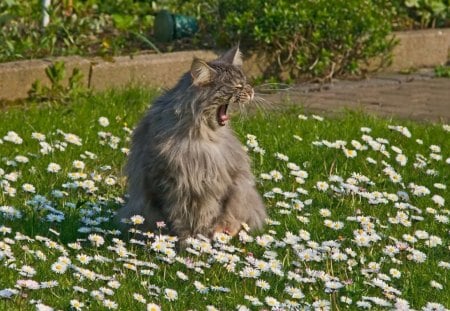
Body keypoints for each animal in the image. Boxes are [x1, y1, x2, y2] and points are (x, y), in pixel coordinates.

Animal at [115, 46, 268, 243]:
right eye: (237, 86)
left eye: (246, 82)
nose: (251, 91)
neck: (196, 139)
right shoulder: (169, 183)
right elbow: (178, 219)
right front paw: (186, 242)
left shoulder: (213, 183)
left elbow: (208, 216)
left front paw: (201, 242)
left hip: (241, 190)